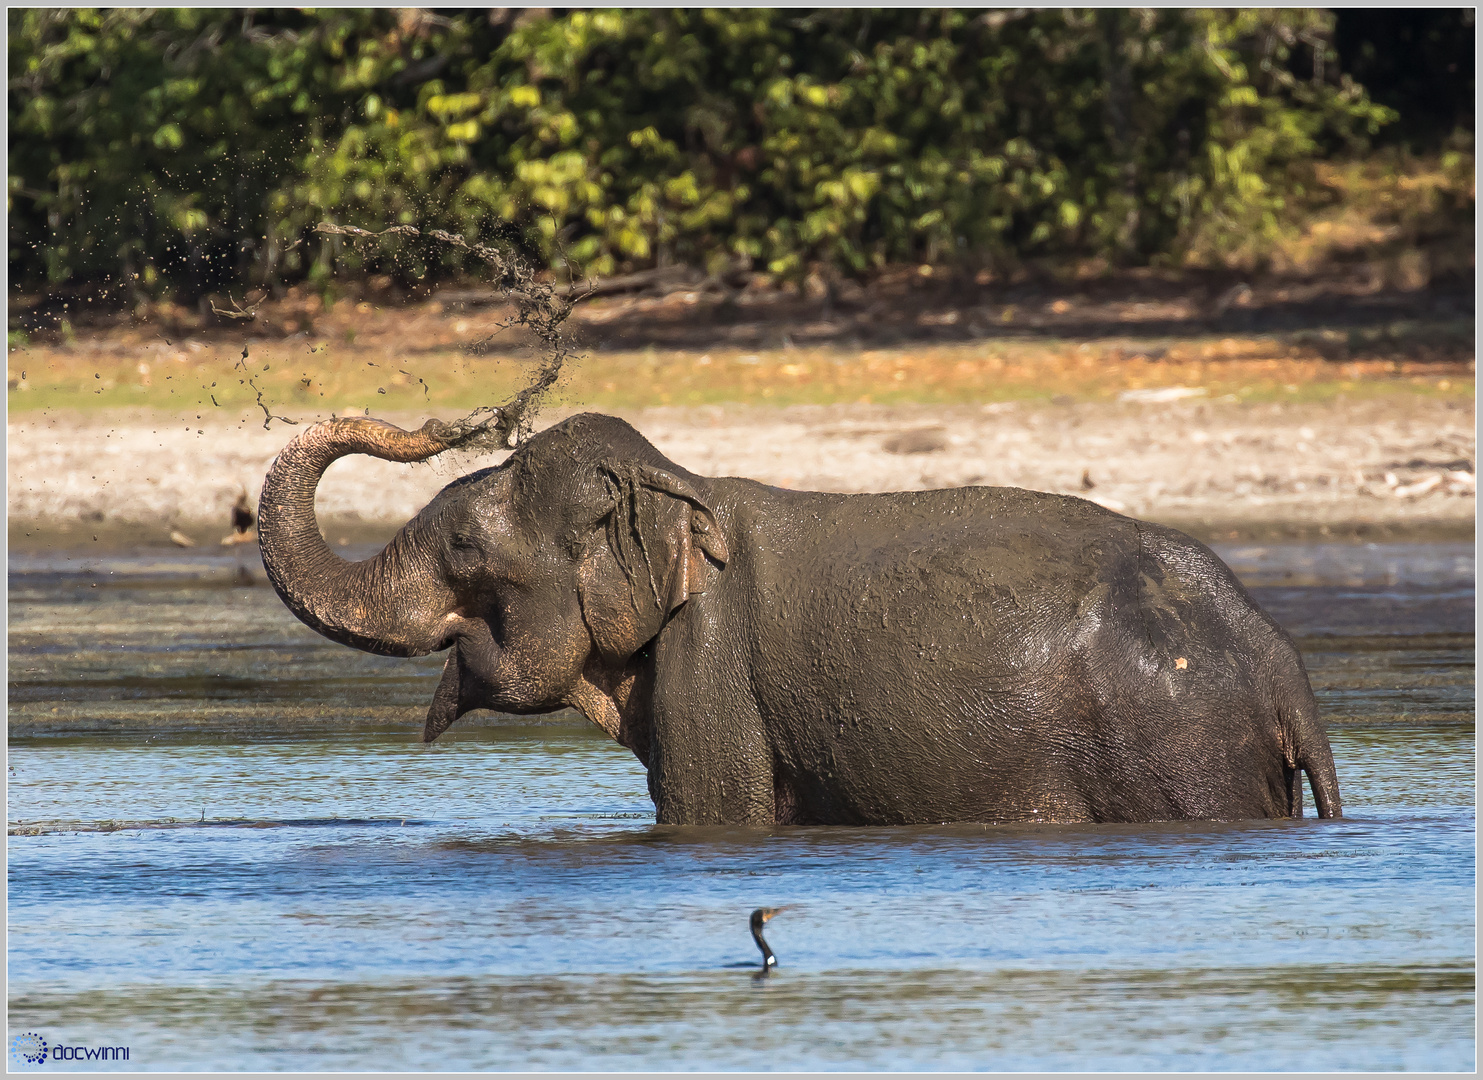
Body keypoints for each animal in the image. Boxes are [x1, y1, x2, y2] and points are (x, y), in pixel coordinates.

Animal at [258, 412, 1346, 824]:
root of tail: (1275, 660)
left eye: (463, 551)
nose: (449, 424)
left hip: (1180, 755)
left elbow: (711, 813)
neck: (684, 491)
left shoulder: (709, 673)